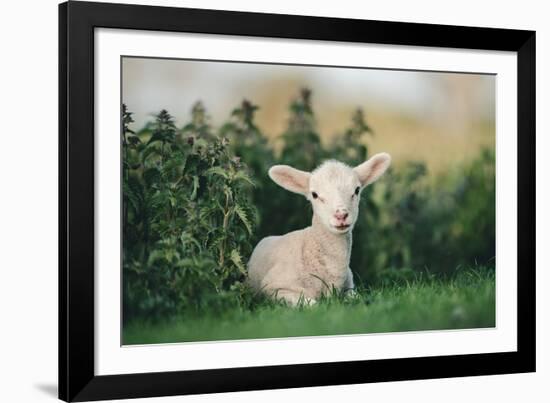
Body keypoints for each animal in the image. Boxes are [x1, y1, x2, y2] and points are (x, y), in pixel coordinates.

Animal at [248, 153, 394, 304]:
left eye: (357, 190)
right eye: (314, 194)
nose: (341, 215)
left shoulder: (349, 288)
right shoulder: (274, 287)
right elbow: (313, 304)